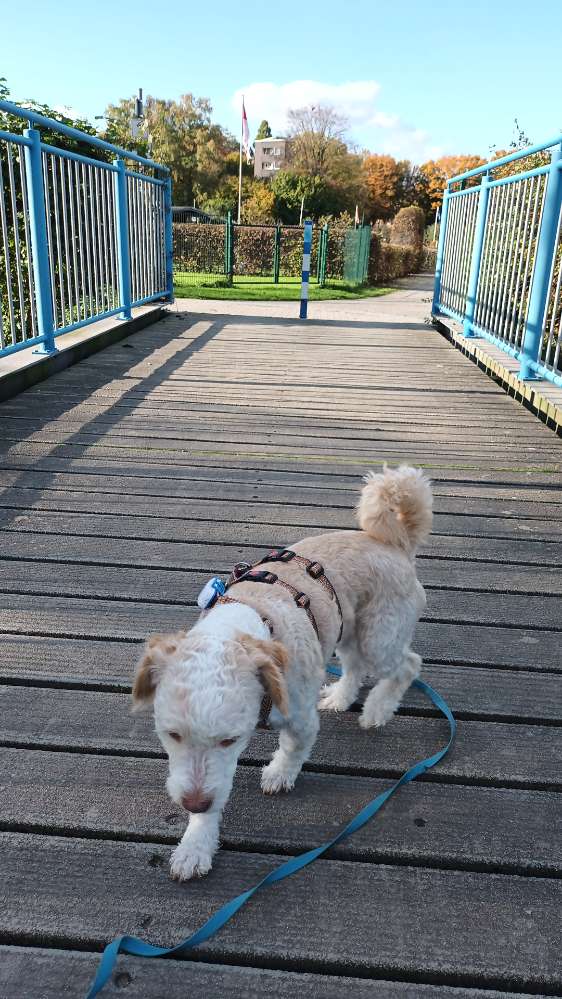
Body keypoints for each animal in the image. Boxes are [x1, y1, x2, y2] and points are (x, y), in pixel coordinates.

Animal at [133, 464, 430, 880]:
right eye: (171, 735)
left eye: (231, 739)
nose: (192, 804)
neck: (248, 625)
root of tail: (395, 543)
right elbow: (213, 795)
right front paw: (195, 846)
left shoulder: (299, 718)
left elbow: (292, 749)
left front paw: (279, 774)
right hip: (347, 631)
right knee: (355, 667)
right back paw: (340, 698)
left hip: (379, 637)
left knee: (407, 665)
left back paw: (377, 711)